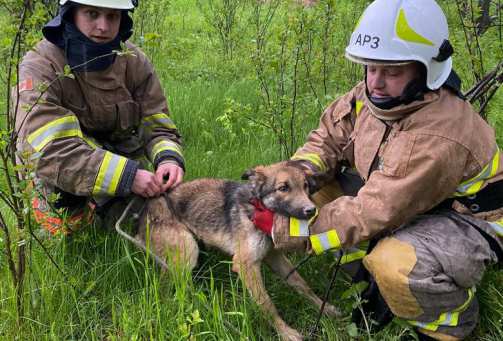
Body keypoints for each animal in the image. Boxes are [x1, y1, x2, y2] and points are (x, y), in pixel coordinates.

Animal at [136, 161, 340, 338]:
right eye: (283, 188)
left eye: (305, 186)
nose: (311, 211)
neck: (259, 210)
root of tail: (142, 213)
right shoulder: (246, 265)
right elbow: (266, 303)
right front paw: (286, 332)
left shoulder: (274, 256)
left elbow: (301, 284)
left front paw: (324, 307)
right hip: (187, 250)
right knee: (165, 287)